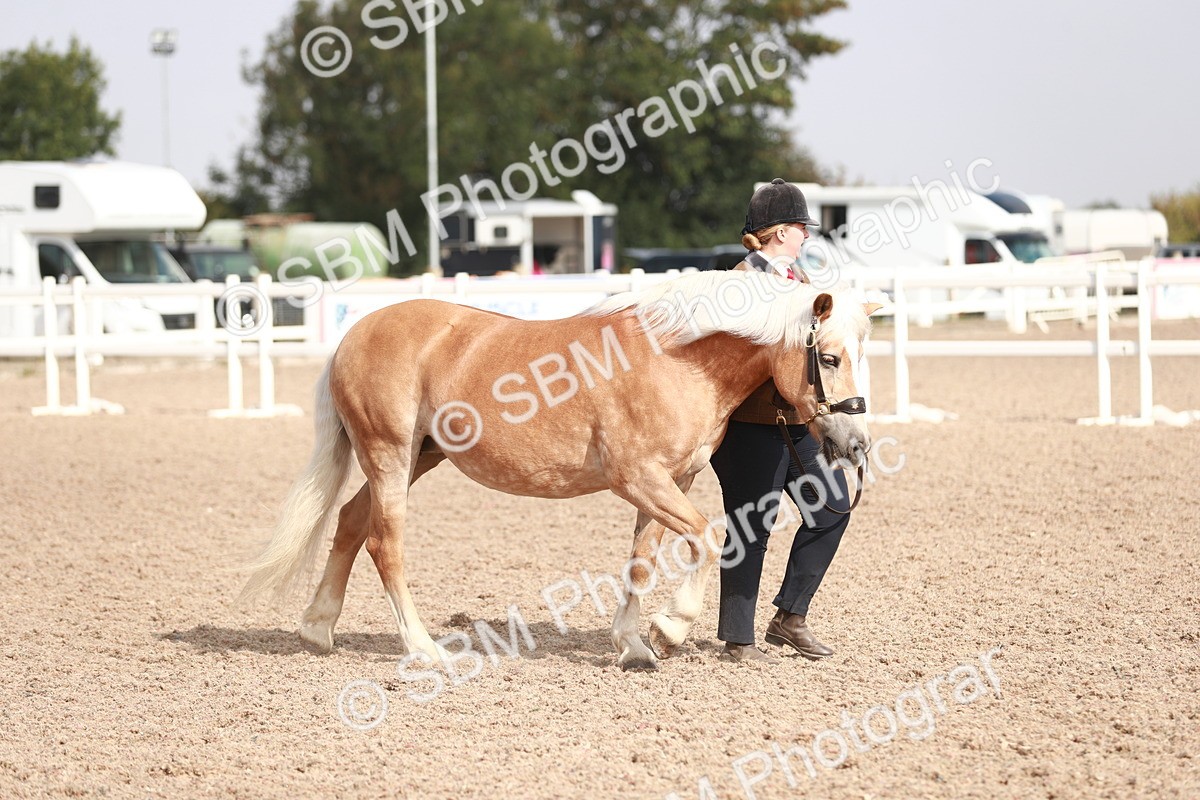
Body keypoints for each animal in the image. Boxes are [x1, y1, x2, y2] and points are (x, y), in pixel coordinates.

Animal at [240, 269, 878, 671]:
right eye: (827, 357)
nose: (856, 445)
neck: (676, 357)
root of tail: (355, 334)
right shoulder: (640, 478)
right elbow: (708, 537)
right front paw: (669, 629)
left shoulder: (672, 481)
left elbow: (641, 559)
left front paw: (634, 646)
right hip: (390, 454)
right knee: (384, 543)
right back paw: (424, 649)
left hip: (416, 456)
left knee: (350, 522)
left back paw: (318, 628)